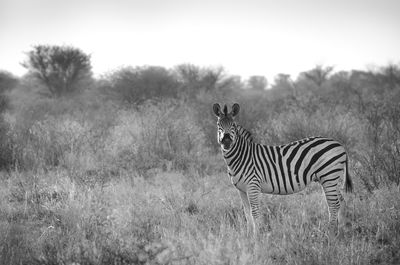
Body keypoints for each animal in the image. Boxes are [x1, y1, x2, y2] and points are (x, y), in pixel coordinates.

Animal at [212, 102, 354, 236]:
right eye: (218, 124)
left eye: (233, 125)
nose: (226, 141)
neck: (241, 157)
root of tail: (339, 144)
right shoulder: (241, 189)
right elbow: (247, 213)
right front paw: (248, 236)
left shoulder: (252, 185)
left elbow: (255, 212)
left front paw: (257, 237)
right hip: (330, 178)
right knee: (341, 202)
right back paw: (343, 231)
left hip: (328, 176)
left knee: (333, 204)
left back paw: (331, 234)